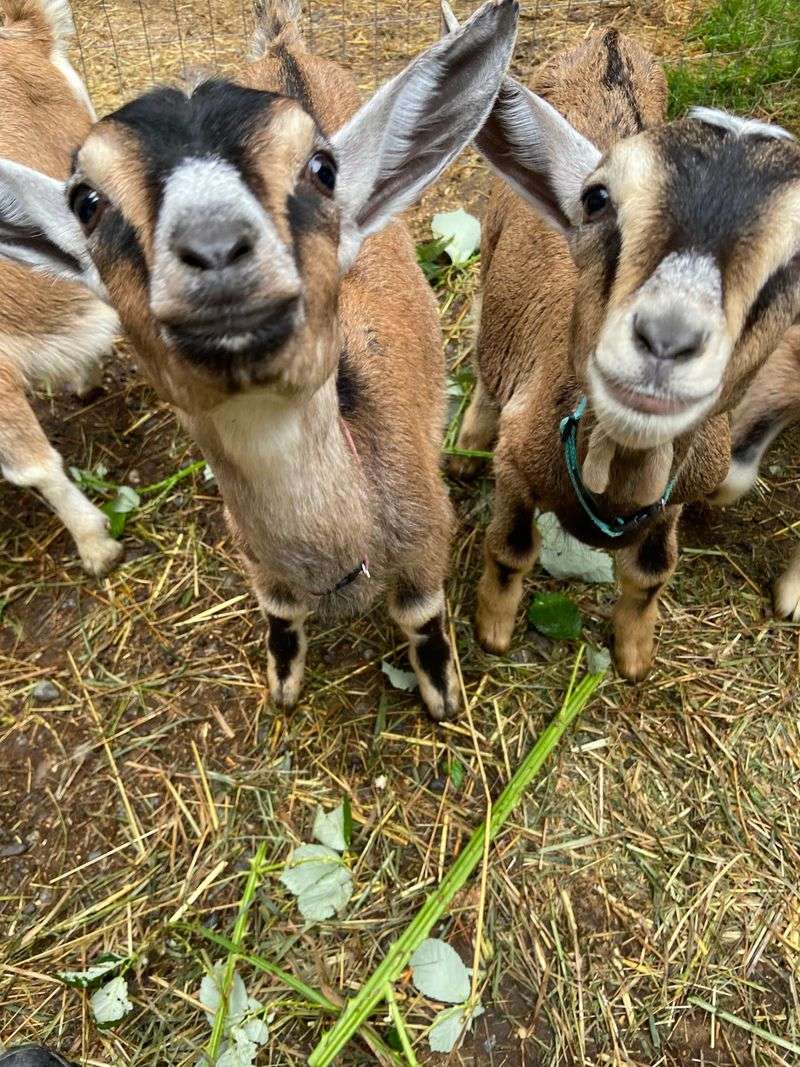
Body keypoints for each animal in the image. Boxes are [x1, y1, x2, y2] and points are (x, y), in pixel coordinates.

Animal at [0, 0, 519, 720]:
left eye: (321, 169)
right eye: (87, 201)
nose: (216, 248)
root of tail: (283, 46)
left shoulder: (425, 540)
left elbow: (421, 619)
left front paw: (441, 698)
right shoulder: (259, 564)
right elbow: (280, 617)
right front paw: (284, 686)